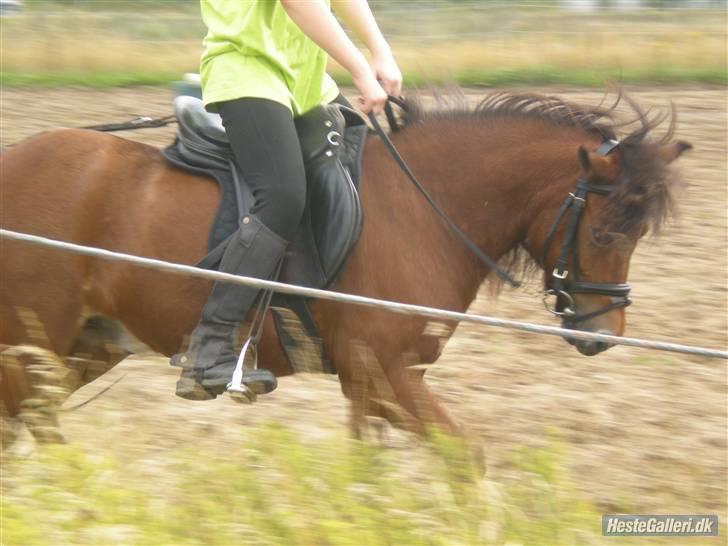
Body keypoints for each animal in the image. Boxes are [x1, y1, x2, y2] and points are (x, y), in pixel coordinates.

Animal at [0, 90, 692, 442]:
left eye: (638, 234)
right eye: (603, 231)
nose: (603, 334)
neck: (422, 204)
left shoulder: (370, 383)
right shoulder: (383, 373)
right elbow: (464, 457)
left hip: (83, 348)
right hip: (31, 349)